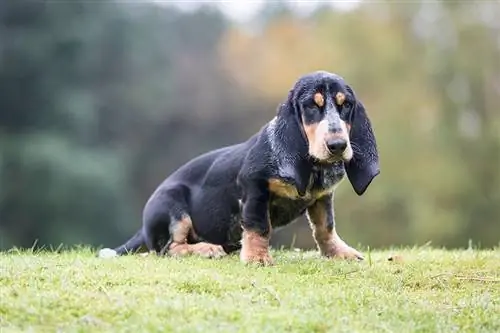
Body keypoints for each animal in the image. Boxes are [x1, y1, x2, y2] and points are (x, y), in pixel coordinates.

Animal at [98, 70, 378, 264]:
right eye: (312, 106)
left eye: (345, 105)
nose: (338, 145)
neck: (312, 166)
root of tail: (143, 228)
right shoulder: (254, 188)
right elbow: (258, 226)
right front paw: (257, 258)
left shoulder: (322, 197)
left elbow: (325, 228)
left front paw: (340, 253)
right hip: (173, 207)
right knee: (170, 248)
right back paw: (207, 248)